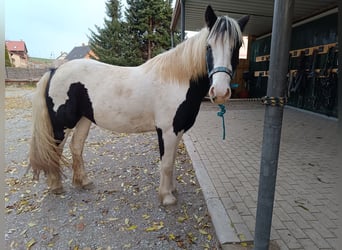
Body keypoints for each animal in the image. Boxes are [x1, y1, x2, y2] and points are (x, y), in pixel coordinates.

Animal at [29, 5, 248, 205]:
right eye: (208, 47)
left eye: (236, 47)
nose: (220, 92)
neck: (178, 80)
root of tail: (55, 70)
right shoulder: (167, 131)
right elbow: (166, 164)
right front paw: (167, 197)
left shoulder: (177, 131)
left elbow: (171, 162)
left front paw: (172, 190)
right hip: (62, 124)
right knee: (55, 150)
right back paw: (56, 186)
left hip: (84, 119)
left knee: (76, 147)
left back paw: (83, 182)